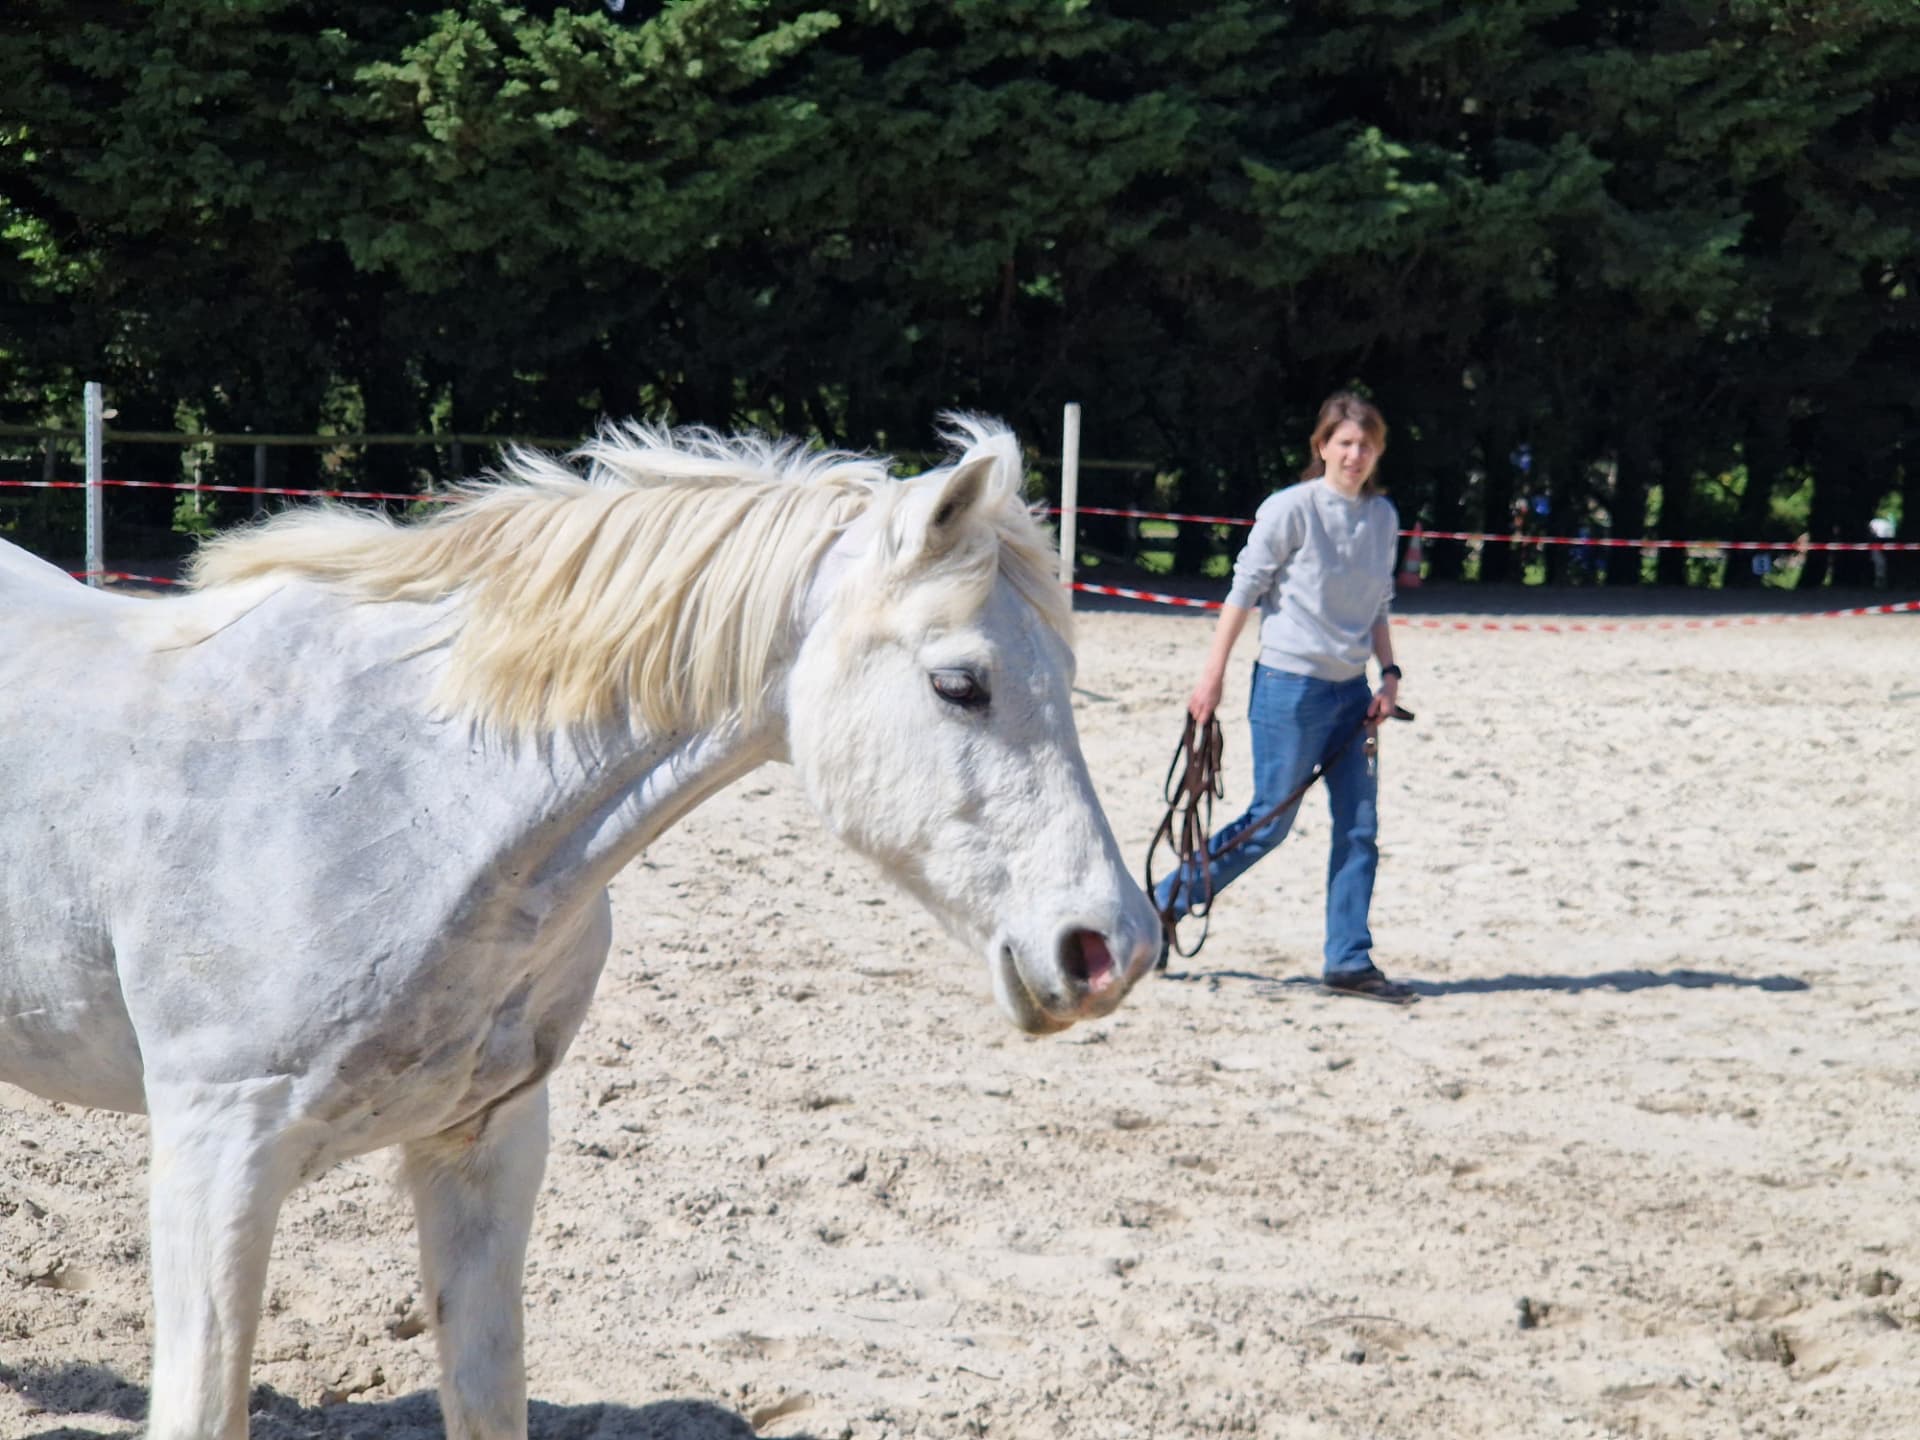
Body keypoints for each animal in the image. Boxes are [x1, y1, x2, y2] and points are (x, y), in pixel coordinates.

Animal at [0, 415, 1160, 1440]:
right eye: (960, 683)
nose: (1112, 947)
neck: (401, 793)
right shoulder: (217, 1155)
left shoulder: (486, 1141)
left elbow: (487, 1396)